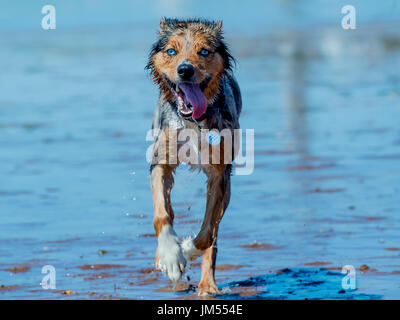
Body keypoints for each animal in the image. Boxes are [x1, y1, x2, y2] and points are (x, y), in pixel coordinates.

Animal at [146, 18, 241, 296]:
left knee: (214, 235)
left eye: (204, 51)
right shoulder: (160, 162)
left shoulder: (220, 174)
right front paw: (170, 256)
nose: (185, 70)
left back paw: (207, 285)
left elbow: (208, 233)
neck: (193, 123)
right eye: (171, 51)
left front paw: (186, 249)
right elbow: (162, 213)